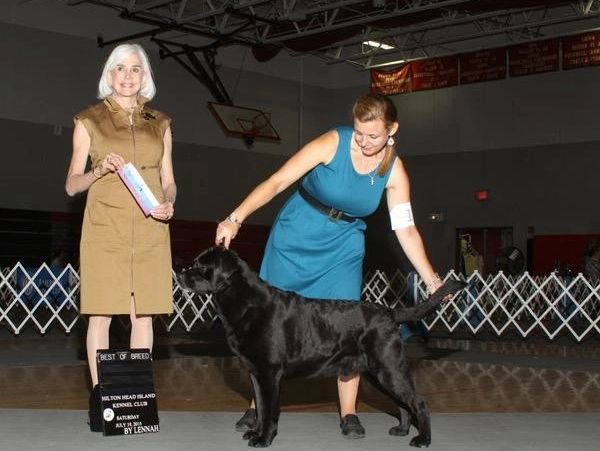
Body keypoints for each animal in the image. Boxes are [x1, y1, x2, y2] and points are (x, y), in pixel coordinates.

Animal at [178, 246, 466, 447]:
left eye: (201, 266)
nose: (180, 274)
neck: (245, 302)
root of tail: (390, 313)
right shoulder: (256, 374)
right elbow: (259, 407)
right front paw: (255, 432)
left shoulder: (269, 373)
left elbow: (269, 410)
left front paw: (263, 439)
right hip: (380, 372)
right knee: (403, 404)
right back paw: (401, 430)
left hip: (388, 368)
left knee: (419, 402)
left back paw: (422, 439)